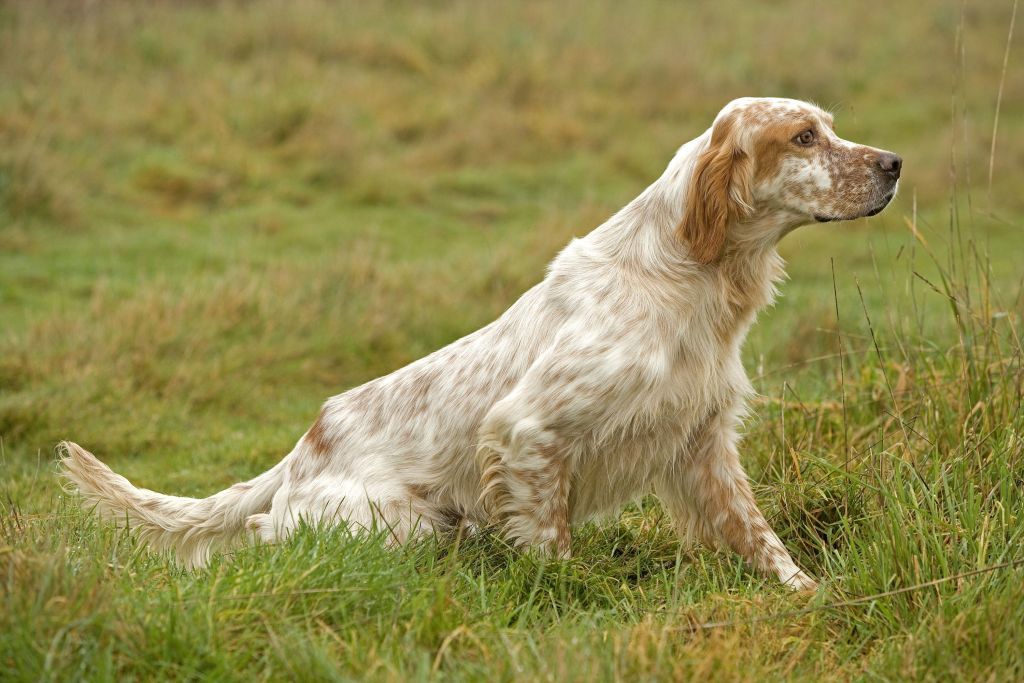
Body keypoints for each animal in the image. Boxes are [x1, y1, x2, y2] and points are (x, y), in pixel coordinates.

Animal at [64, 98, 901, 589]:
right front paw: (575, 597)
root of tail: (301, 449)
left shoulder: (703, 441)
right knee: (273, 533)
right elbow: (554, 542)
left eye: (830, 127)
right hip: (404, 521)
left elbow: (759, 535)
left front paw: (806, 595)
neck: (691, 277)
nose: (894, 162)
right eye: (804, 137)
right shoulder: (527, 430)